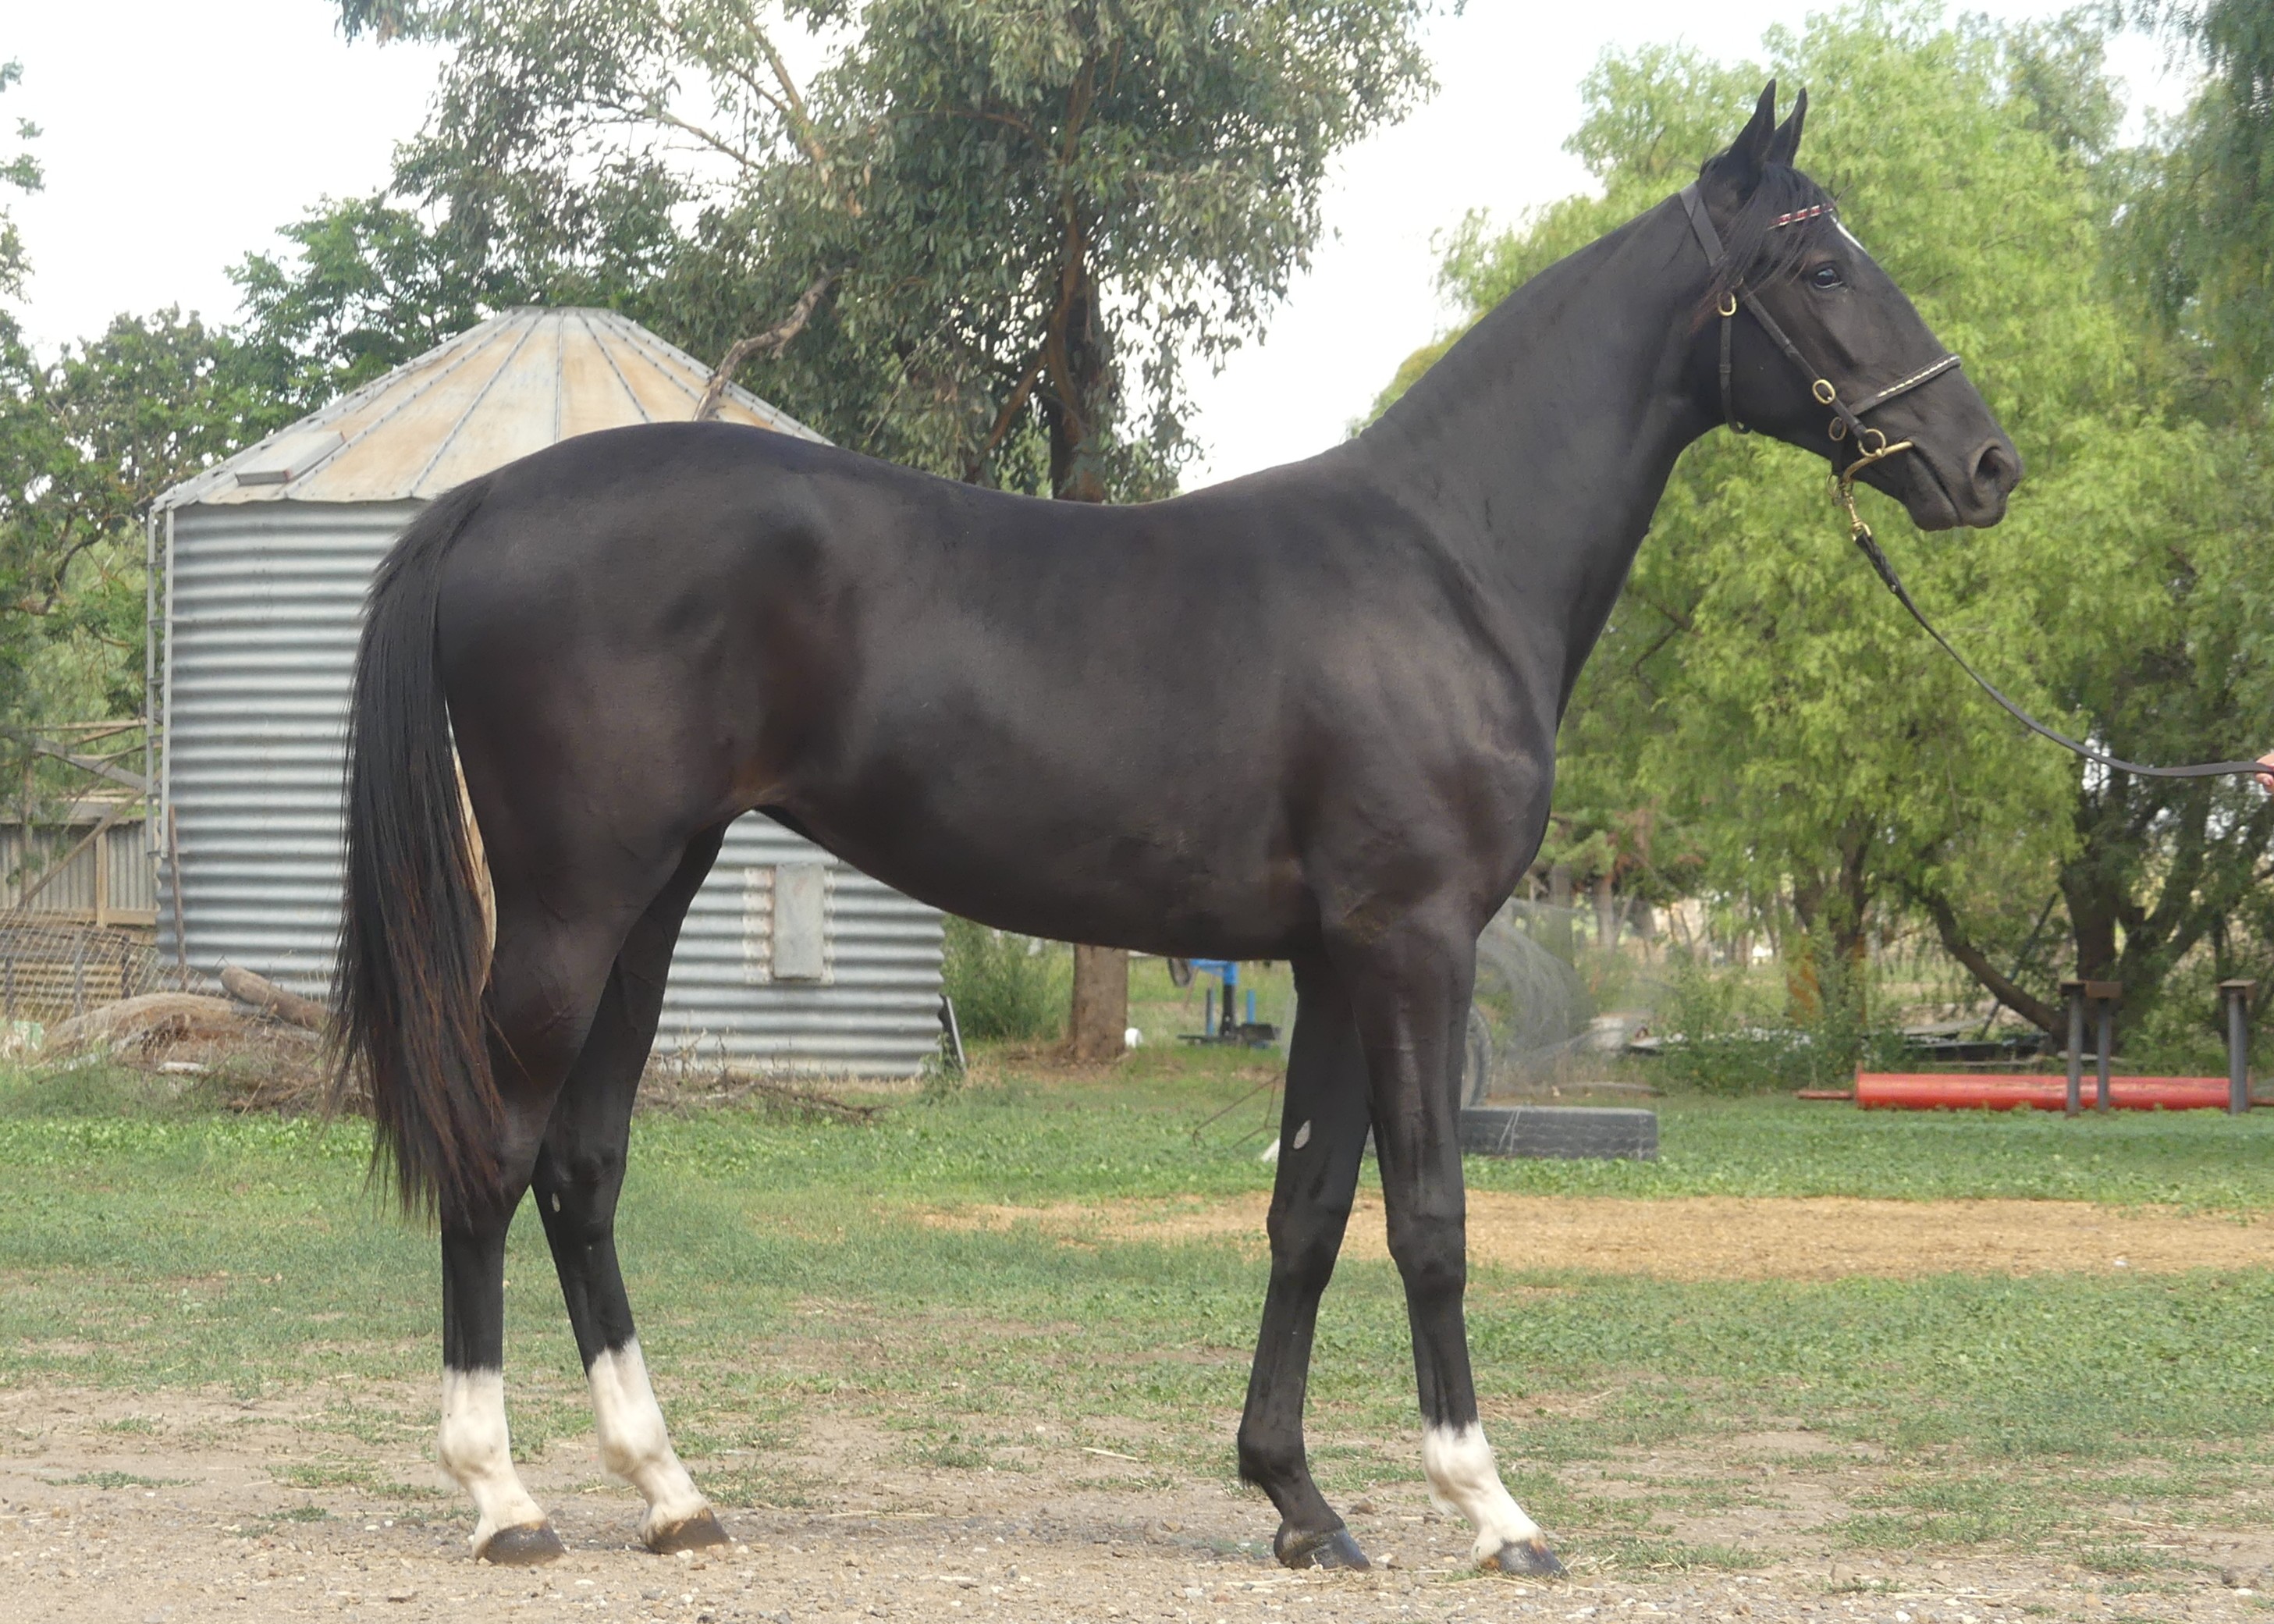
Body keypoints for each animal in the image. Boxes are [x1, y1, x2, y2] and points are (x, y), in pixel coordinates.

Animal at [332, 82, 2020, 1575]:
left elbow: (1306, 1211)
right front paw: (1491, 1509)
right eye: (1819, 266)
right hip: (571, 905)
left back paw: (670, 1489)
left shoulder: (1333, 959)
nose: (1984, 462)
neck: (1443, 559)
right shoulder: (1411, 943)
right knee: (495, 1150)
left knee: (582, 1163)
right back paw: (502, 1498)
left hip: (654, 897)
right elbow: (1428, 1215)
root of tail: (479, 500)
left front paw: (1298, 1500)